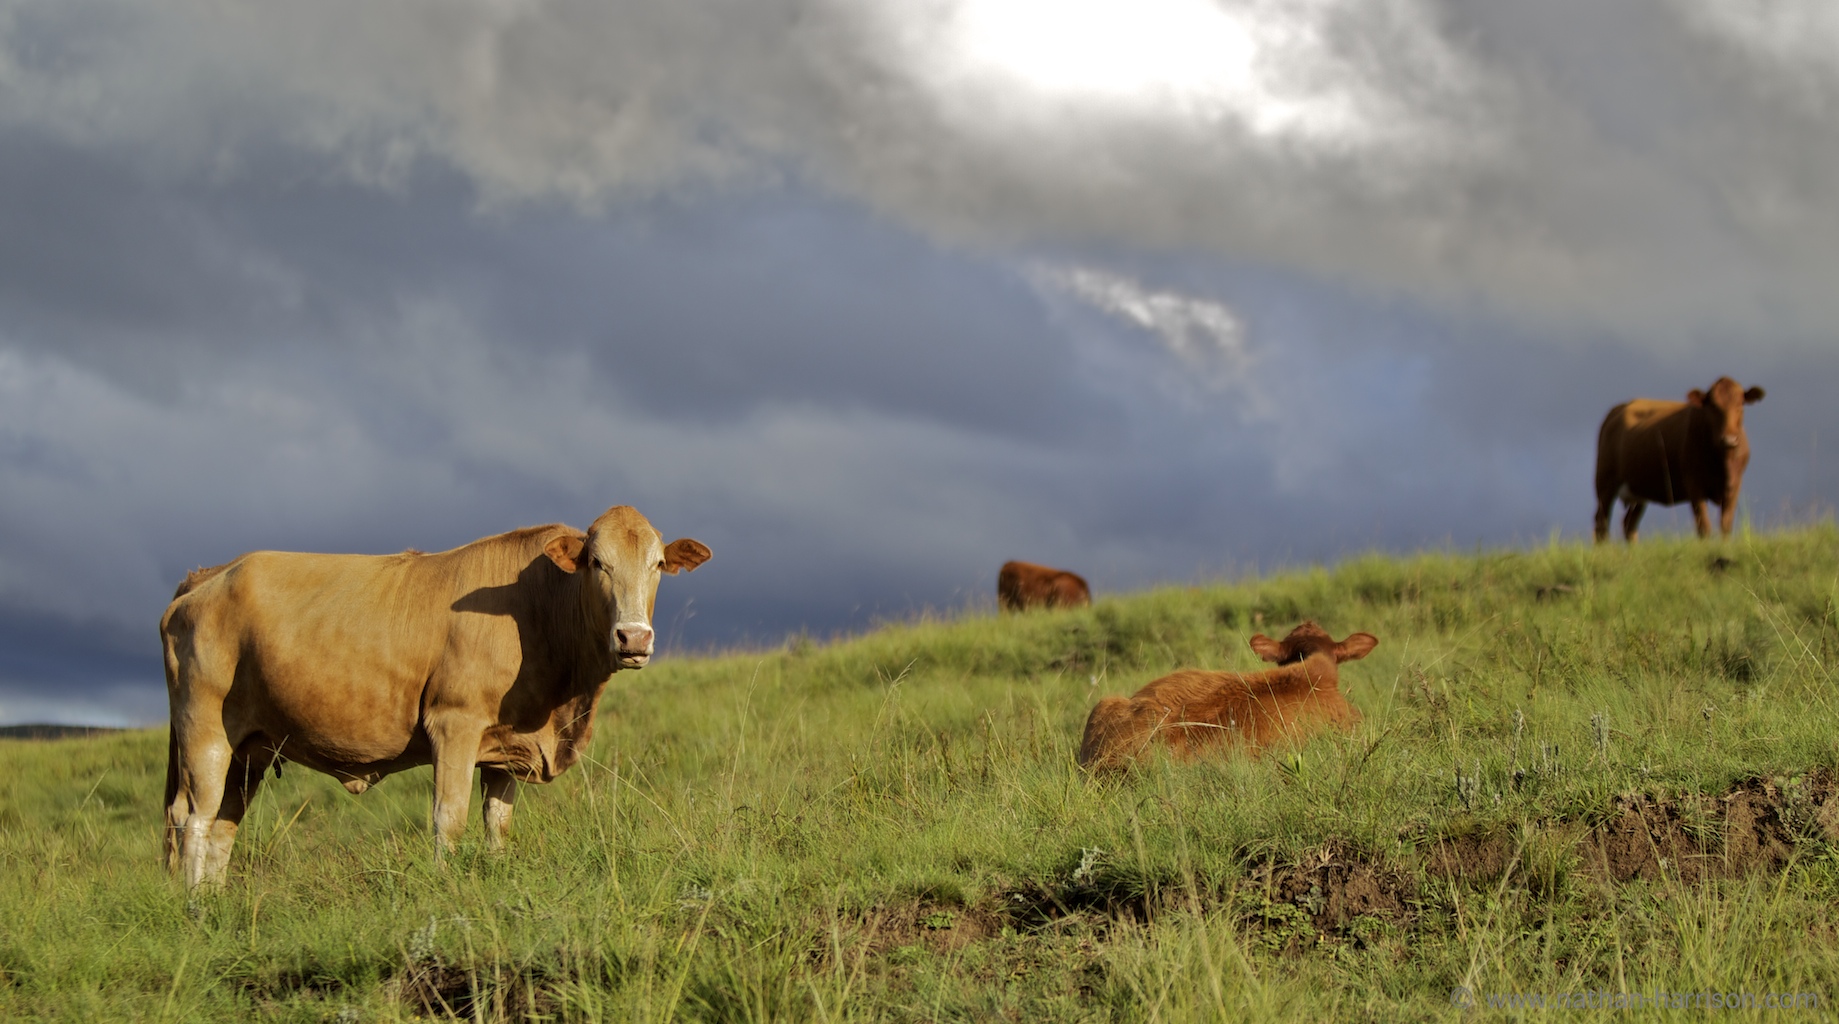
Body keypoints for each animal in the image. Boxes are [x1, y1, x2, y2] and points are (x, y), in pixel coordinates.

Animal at [161, 503, 706, 886]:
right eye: (596, 562)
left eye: (658, 563)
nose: (633, 637)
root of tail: (213, 572)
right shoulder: (454, 723)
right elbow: (450, 820)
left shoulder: (506, 747)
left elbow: (497, 827)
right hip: (204, 729)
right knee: (192, 818)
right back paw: (195, 911)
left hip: (249, 748)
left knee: (223, 823)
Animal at [1596, 375, 1765, 544]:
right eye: (1713, 406)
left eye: (1740, 404)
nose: (1729, 440)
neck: (1723, 463)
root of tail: (1620, 407)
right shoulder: (1694, 484)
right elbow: (1704, 526)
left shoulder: (1734, 485)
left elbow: (1726, 525)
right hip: (1605, 482)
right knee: (1601, 521)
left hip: (1639, 489)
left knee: (1629, 524)